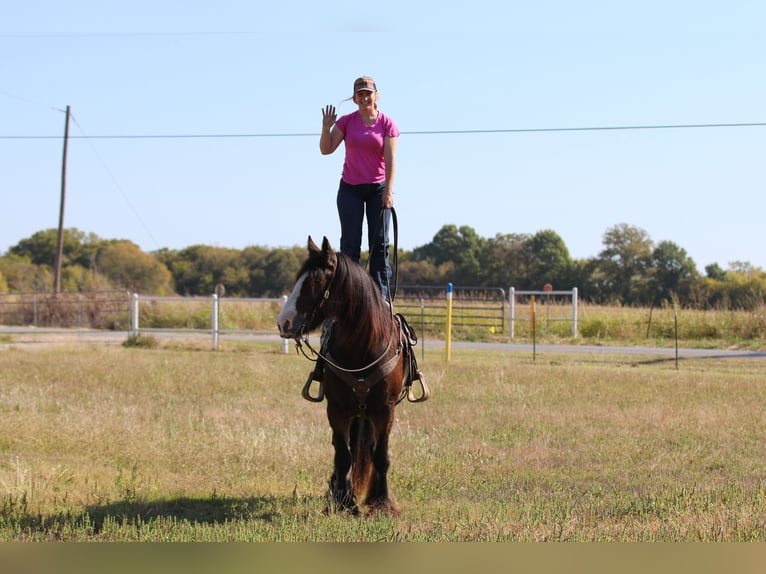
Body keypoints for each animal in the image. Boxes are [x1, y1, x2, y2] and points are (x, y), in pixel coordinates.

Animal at [280, 236, 428, 520]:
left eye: (316, 280)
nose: (285, 322)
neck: (363, 345)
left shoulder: (385, 409)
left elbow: (381, 455)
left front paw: (382, 502)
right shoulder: (337, 409)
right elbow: (342, 456)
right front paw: (342, 501)